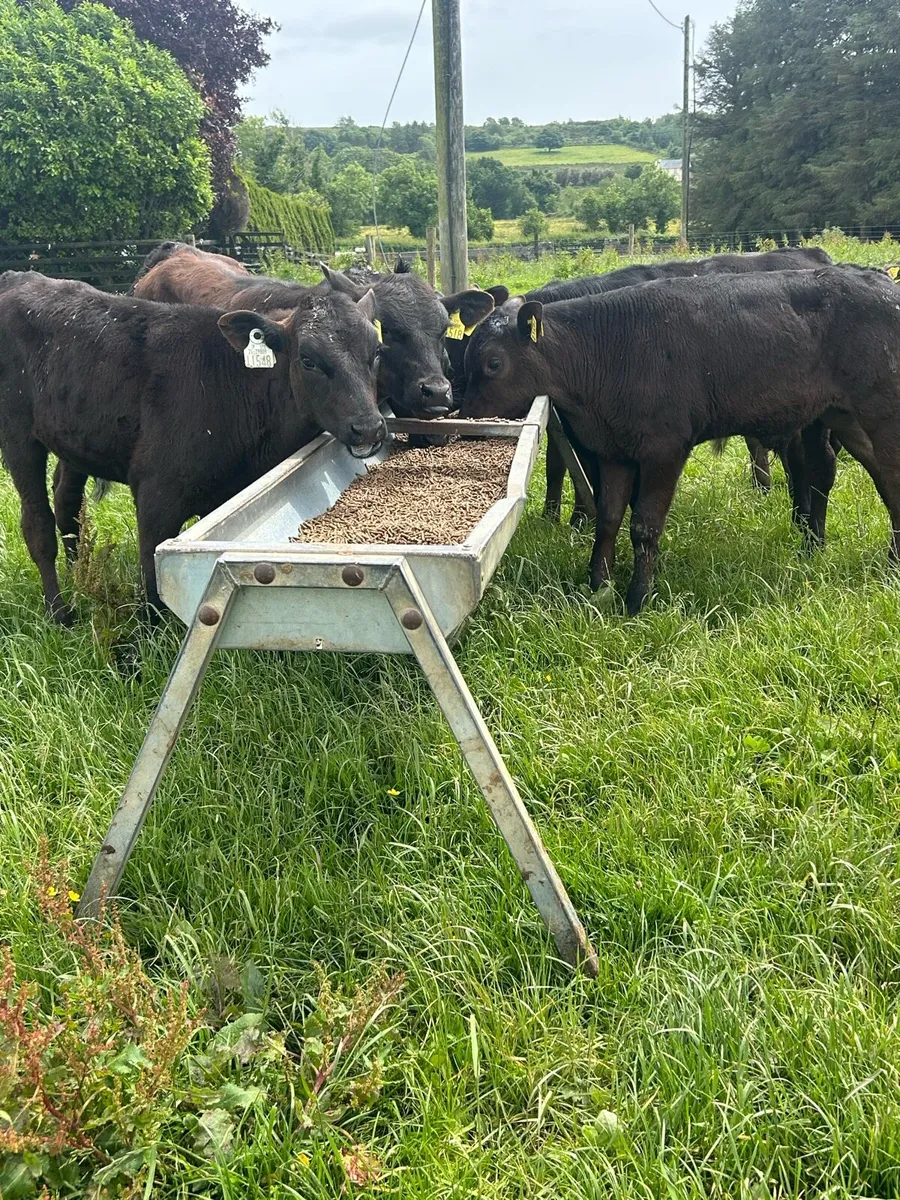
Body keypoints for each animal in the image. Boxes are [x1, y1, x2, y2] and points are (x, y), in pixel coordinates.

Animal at [0, 272, 385, 623]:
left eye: (376, 352)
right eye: (308, 360)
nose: (368, 427)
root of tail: (20, 277)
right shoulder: (155, 493)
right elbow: (151, 577)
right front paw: (143, 643)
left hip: (75, 438)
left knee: (67, 504)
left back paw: (79, 575)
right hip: (18, 437)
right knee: (38, 523)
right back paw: (60, 612)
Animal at [460, 267, 900, 614]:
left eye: (494, 363)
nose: (462, 416)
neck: (605, 352)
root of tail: (881, 280)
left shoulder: (664, 447)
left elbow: (644, 526)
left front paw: (636, 599)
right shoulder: (614, 450)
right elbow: (608, 519)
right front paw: (597, 586)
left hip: (881, 411)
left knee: (887, 477)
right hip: (839, 415)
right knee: (854, 474)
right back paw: (839, 553)